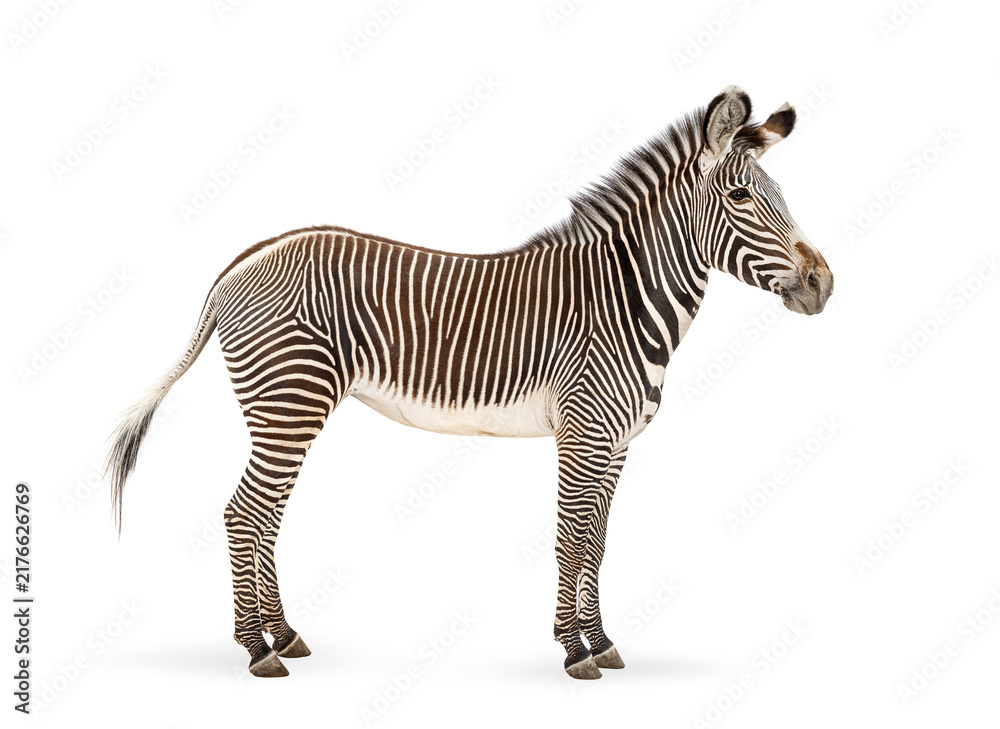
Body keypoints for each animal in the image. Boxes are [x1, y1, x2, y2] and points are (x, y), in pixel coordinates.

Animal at [107, 86, 833, 680]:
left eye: (783, 197)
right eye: (740, 198)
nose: (823, 283)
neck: (624, 302)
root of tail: (243, 262)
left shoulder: (618, 442)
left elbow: (598, 541)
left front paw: (601, 643)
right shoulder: (584, 433)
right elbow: (572, 537)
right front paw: (573, 650)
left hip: (285, 408)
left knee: (265, 514)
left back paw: (283, 635)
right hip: (290, 401)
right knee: (245, 512)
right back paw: (257, 649)